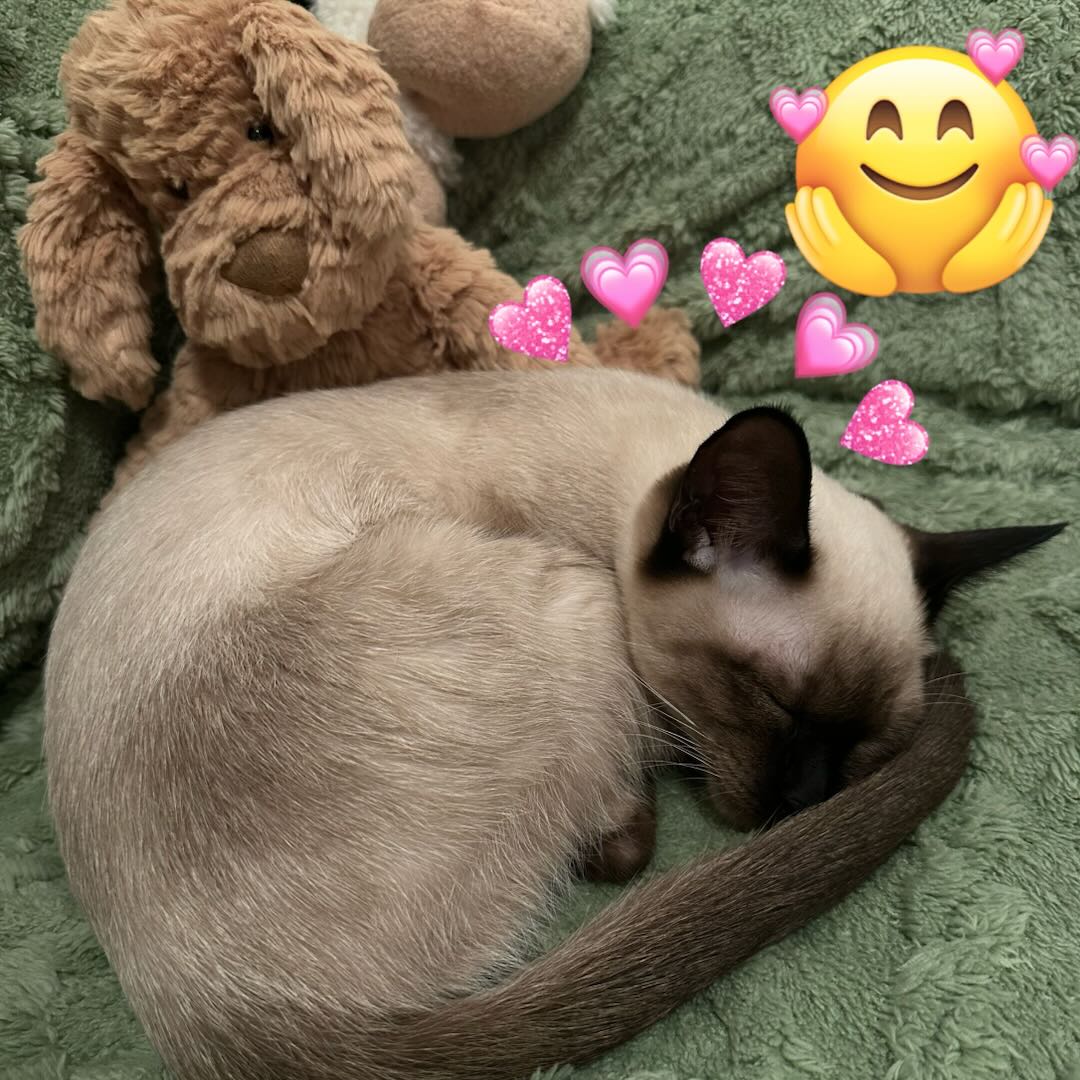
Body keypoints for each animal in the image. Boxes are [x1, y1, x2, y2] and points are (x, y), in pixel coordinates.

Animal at [44, 367, 1063, 1079]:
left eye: (864, 750)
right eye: (772, 700)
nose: (802, 800)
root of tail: (213, 1016)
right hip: (572, 599)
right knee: (617, 849)